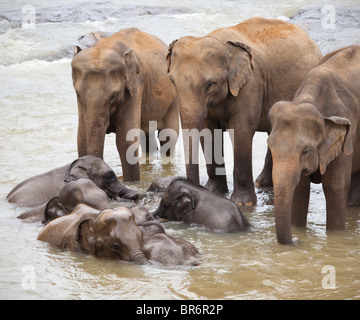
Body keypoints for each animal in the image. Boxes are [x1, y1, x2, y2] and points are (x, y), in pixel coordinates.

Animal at [72, 26, 180, 182]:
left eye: (114, 95)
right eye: (78, 94)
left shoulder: (135, 85)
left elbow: (125, 140)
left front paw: (132, 183)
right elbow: (81, 137)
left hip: (173, 97)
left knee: (168, 136)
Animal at [167, 17, 324, 206]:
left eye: (209, 85)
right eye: (172, 82)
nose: (190, 191)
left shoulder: (251, 84)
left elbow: (241, 130)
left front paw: (243, 203)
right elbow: (208, 131)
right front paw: (214, 191)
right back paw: (262, 183)